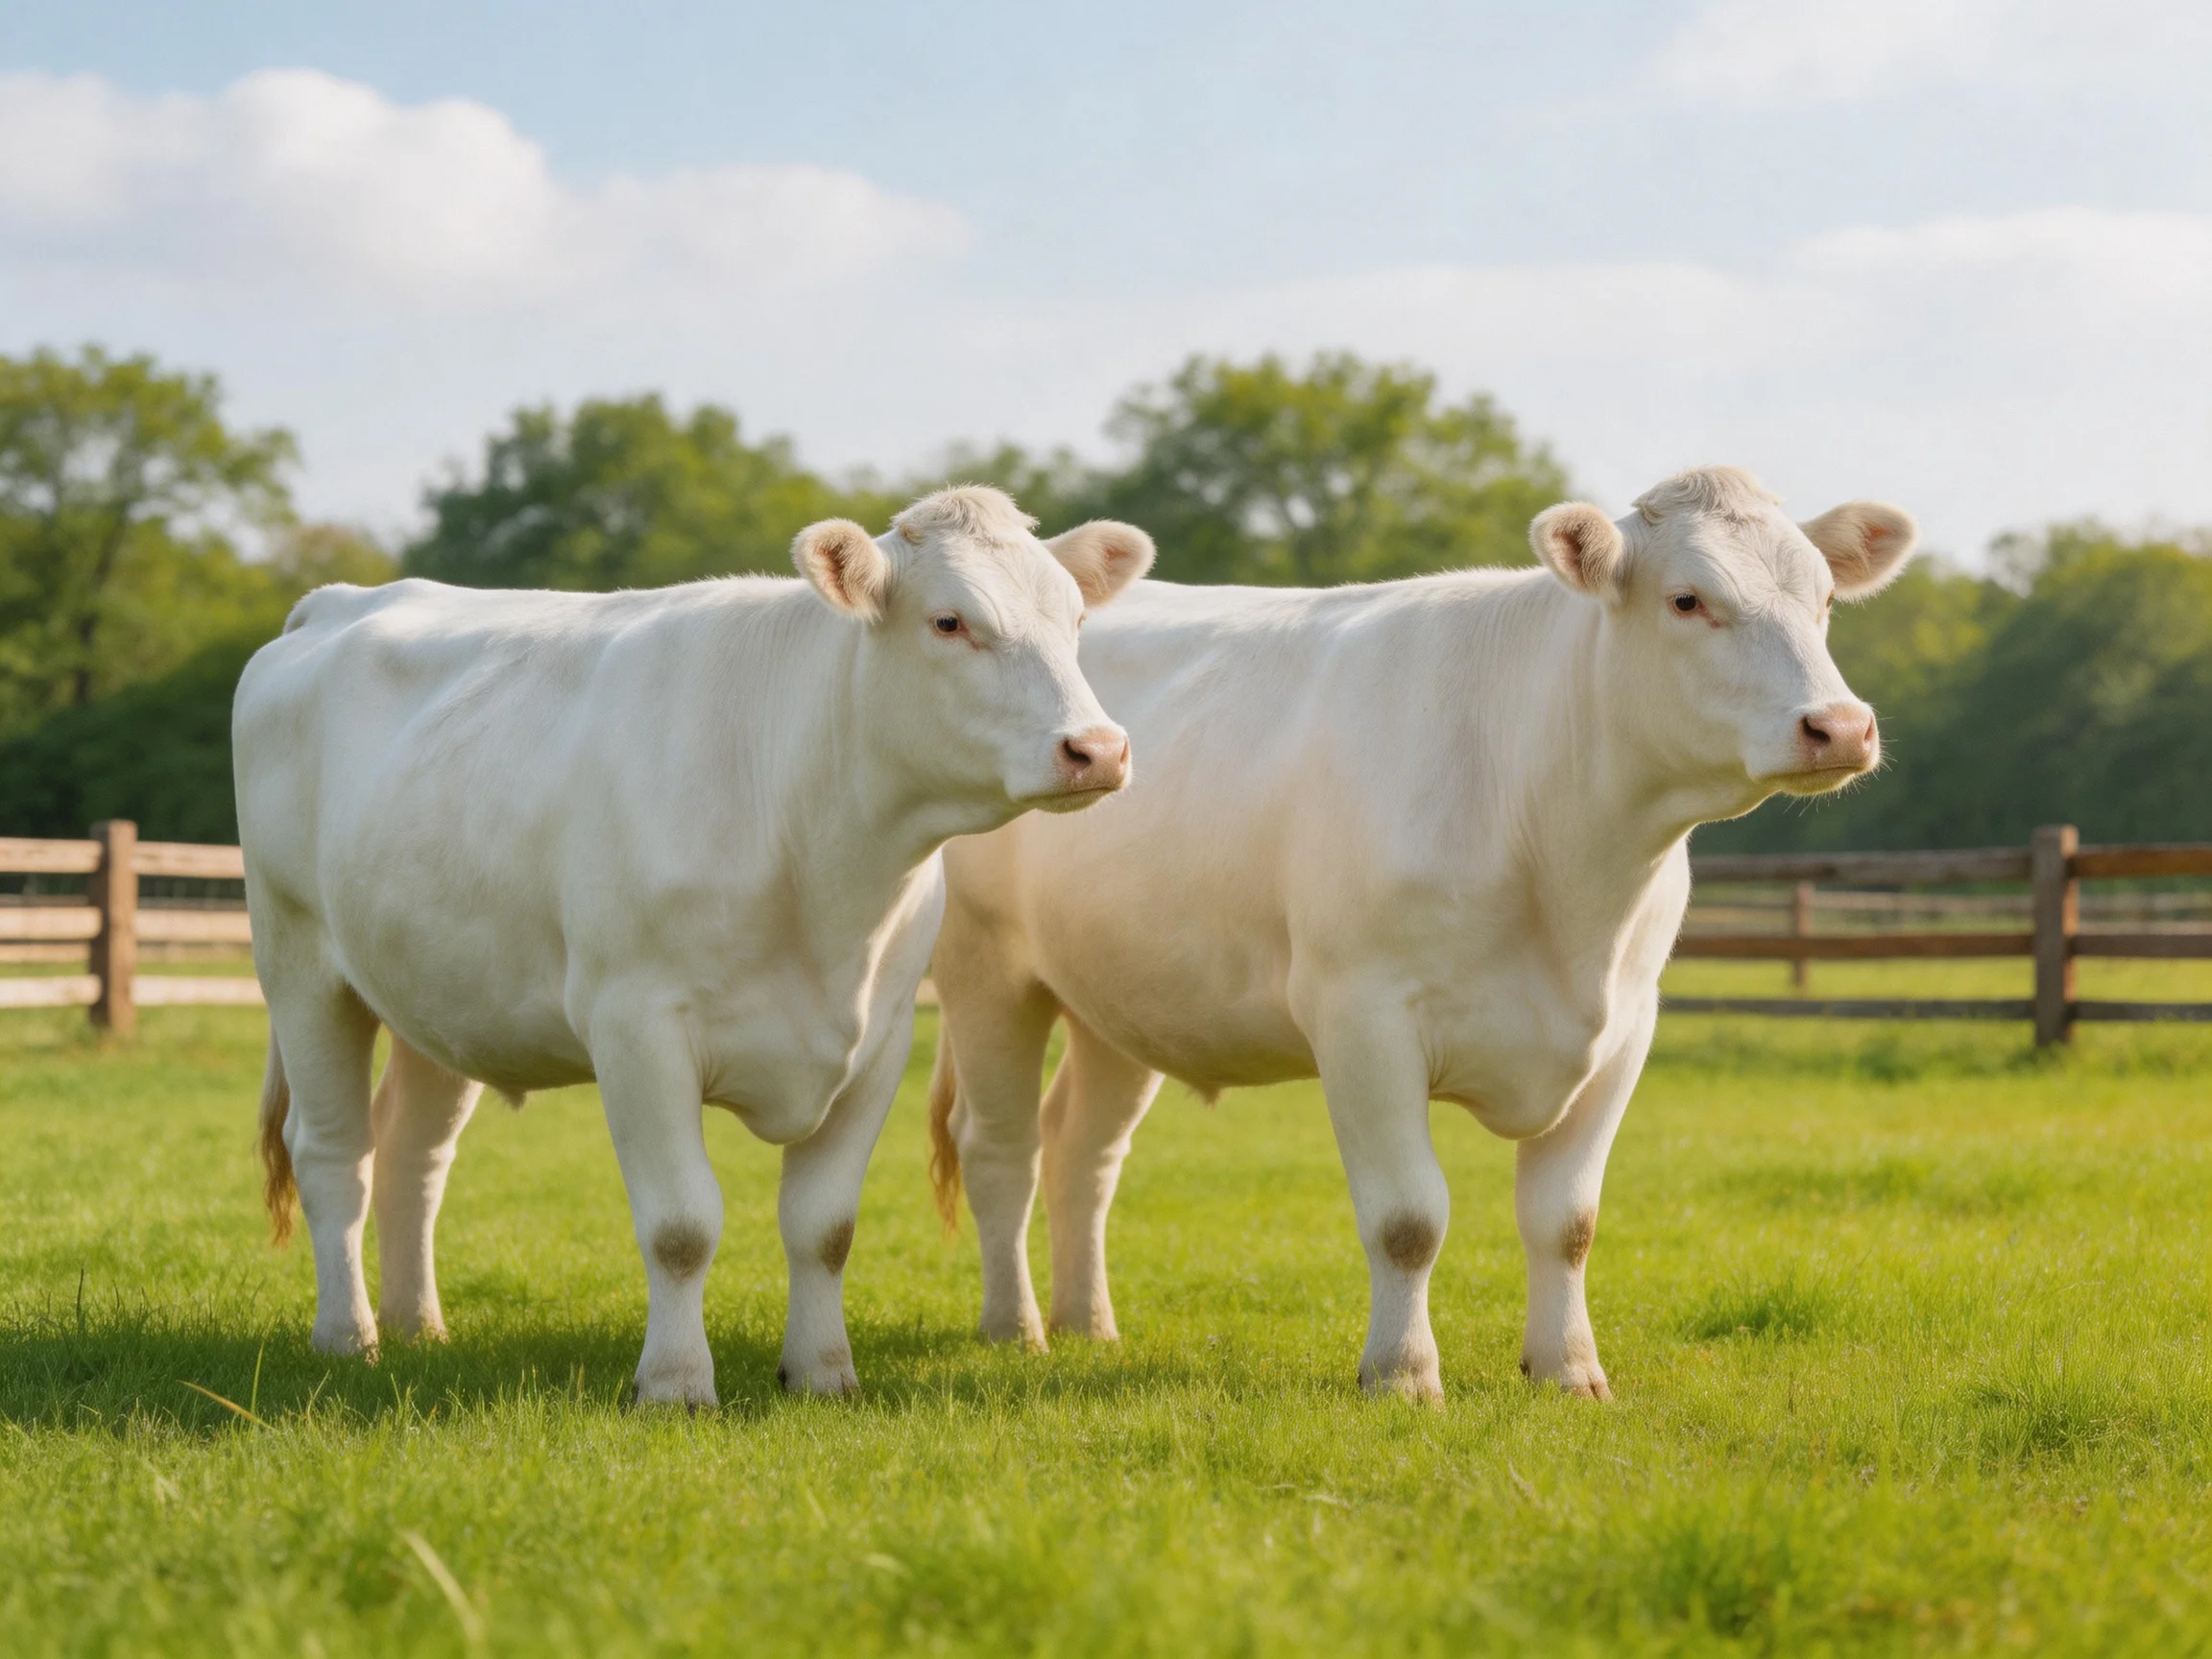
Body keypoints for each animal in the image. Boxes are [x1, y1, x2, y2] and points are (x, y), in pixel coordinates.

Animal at [234, 486, 1154, 1407]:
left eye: (1075, 619)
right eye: (949, 621)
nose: (1098, 748)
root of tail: (338, 601)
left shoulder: (882, 1038)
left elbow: (825, 1227)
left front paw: (824, 1373)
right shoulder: (637, 1026)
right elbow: (681, 1226)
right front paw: (675, 1384)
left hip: (443, 990)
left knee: (412, 1155)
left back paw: (417, 1325)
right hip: (300, 963)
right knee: (333, 1156)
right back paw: (348, 1337)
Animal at [925, 466, 1915, 1402]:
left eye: (1825, 600)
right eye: (1686, 599)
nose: (1840, 727)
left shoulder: (1626, 1028)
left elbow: (1567, 1222)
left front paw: (1569, 1370)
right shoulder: (1363, 1018)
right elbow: (1408, 1221)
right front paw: (1401, 1374)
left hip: (1122, 995)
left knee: (1083, 1150)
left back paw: (1088, 1323)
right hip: (986, 969)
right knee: (1001, 1148)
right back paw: (1016, 1328)